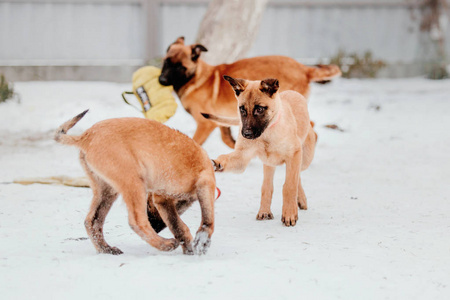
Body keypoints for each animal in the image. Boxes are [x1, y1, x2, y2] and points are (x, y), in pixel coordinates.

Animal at [54, 110, 216, 255]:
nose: (155, 227)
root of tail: (85, 137)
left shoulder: (163, 200)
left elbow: (178, 225)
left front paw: (188, 246)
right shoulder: (205, 183)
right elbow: (206, 218)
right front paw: (201, 240)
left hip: (107, 190)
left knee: (92, 221)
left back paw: (106, 249)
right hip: (134, 182)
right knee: (137, 222)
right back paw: (165, 244)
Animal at [160, 36, 340, 149]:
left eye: (179, 67)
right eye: (166, 62)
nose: (161, 80)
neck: (195, 78)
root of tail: (304, 68)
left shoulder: (205, 124)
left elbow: (196, 141)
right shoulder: (220, 122)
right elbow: (227, 140)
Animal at [202, 76, 318, 226]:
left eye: (259, 109)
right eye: (242, 109)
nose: (246, 134)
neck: (267, 133)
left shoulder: (294, 153)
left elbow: (289, 185)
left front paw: (289, 213)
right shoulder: (242, 157)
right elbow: (227, 159)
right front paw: (216, 163)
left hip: (304, 159)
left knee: (297, 176)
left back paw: (300, 200)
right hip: (269, 163)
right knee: (268, 186)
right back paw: (265, 211)